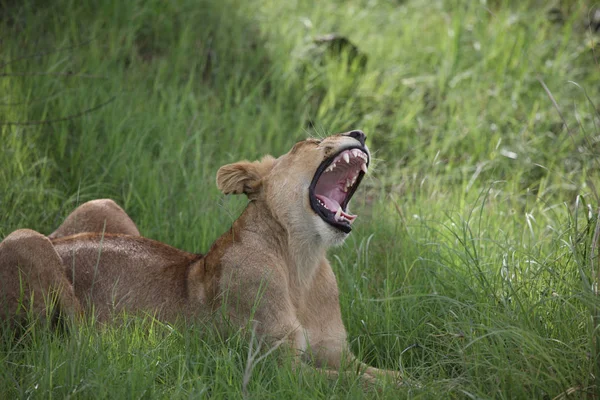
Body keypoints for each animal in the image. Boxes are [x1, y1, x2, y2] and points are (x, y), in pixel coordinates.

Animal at [1, 130, 404, 382]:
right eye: (312, 141)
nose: (360, 133)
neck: (303, 263)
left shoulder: (340, 356)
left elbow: (387, 375)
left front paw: (415, 381)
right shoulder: (272, 367)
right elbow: (354, 385)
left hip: (103, 205)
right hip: (28, 241)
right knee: (60, 339)